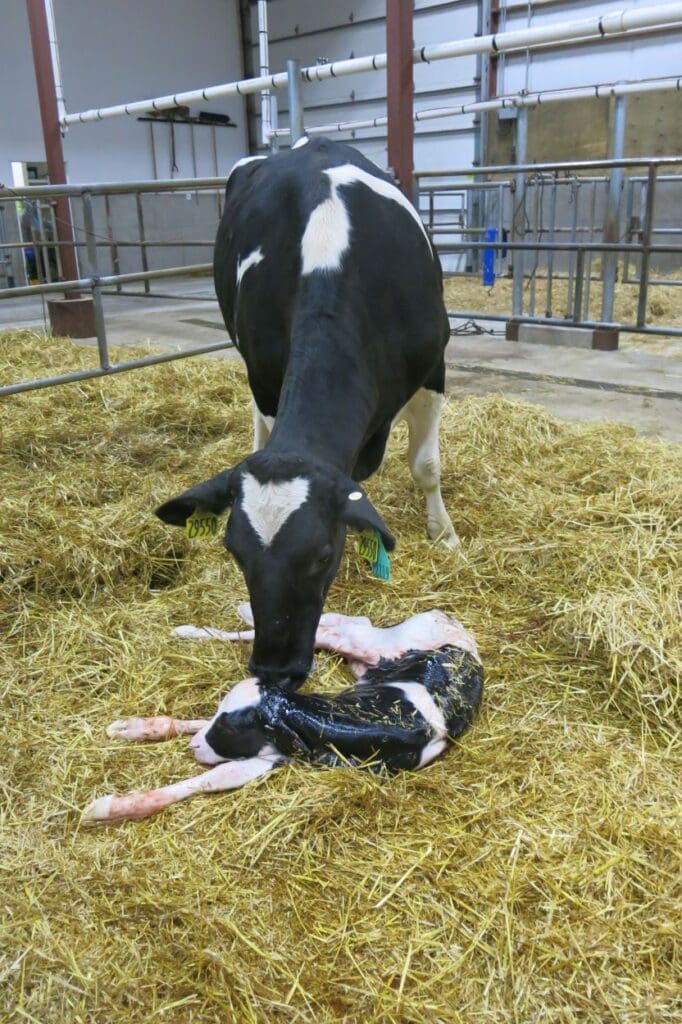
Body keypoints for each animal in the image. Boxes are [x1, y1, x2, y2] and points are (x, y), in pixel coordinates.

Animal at [82, 606, 481, 823]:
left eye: (231, 730)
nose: (195, 747)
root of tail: (454, 625)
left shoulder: (271, 756)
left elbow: (211, 779)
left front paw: (108, 807)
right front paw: (134, 728)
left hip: (367, 653)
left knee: (337, 628)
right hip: (368, 649)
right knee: (333, 627)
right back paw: (193, 628)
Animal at [157, 138, 456, 688]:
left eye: (322, 555)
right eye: (234, 553)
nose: (275, 669)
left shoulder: (434, 367)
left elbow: (426, 466)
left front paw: (442, 534)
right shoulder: (264, 373)